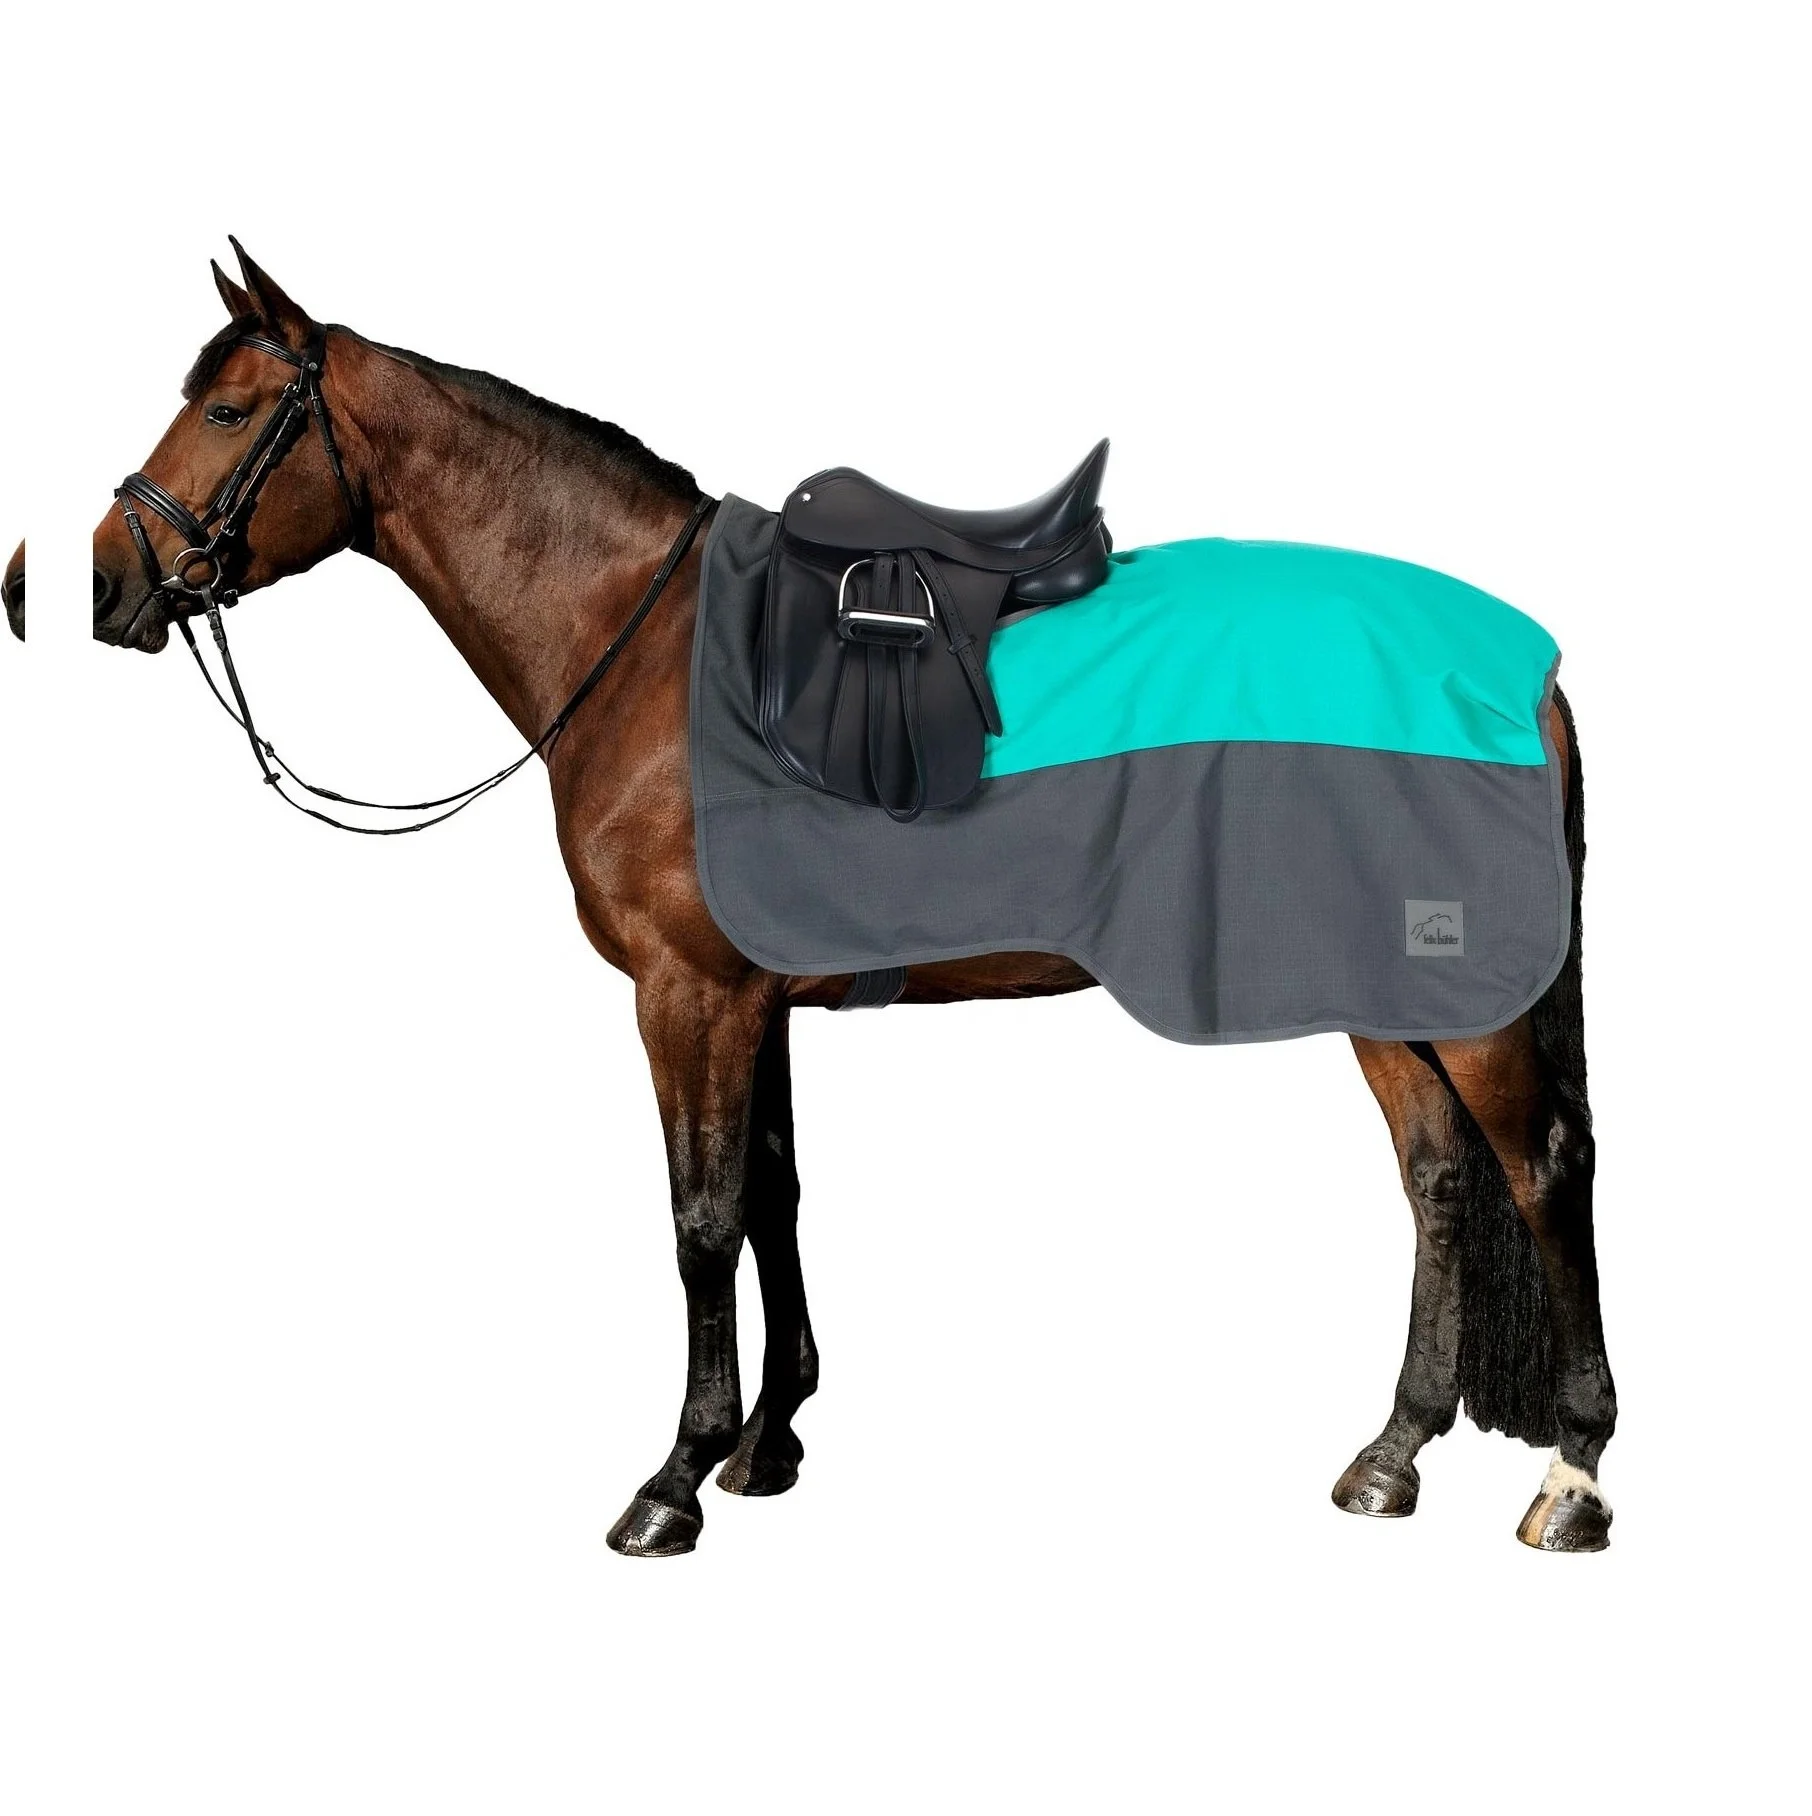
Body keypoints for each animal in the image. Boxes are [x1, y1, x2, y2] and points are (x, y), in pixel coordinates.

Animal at [91, 245, 1617, 1556]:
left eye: (229, 410)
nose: (106, 581)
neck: (644, 647)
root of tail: (1517, 664)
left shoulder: (687, 995)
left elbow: (700, 1219)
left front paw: (674, 1476)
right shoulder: (753, 999)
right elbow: (771, 1194)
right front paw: (766, 1441)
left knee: (1540, 1168)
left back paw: (1574, 1475)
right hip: (1378, 988)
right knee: (1436, 1178)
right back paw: (1392, 1453)